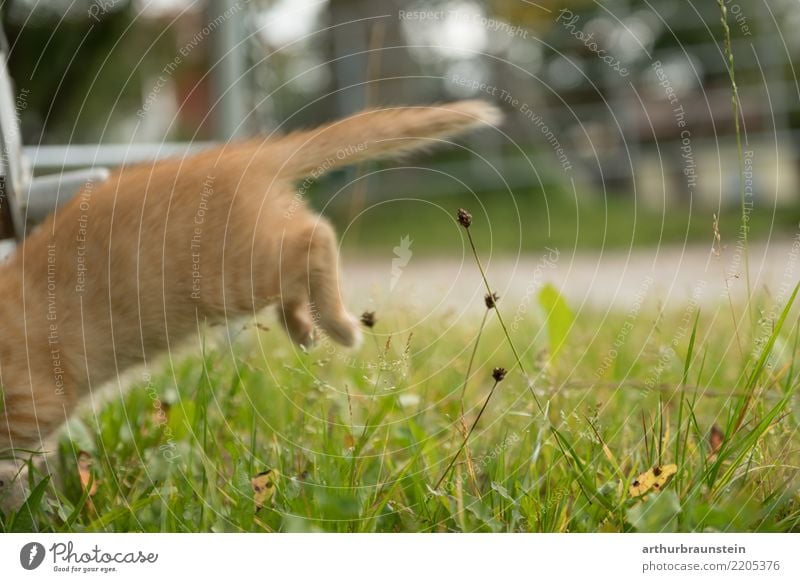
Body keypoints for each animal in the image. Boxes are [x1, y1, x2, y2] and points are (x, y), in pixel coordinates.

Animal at [0, 101, 500, 512]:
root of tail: (240, 154)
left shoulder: (32, 403)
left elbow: (16, 468)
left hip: (231, 276)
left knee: (315, 235)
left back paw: (339, 326)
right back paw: (303, 328)